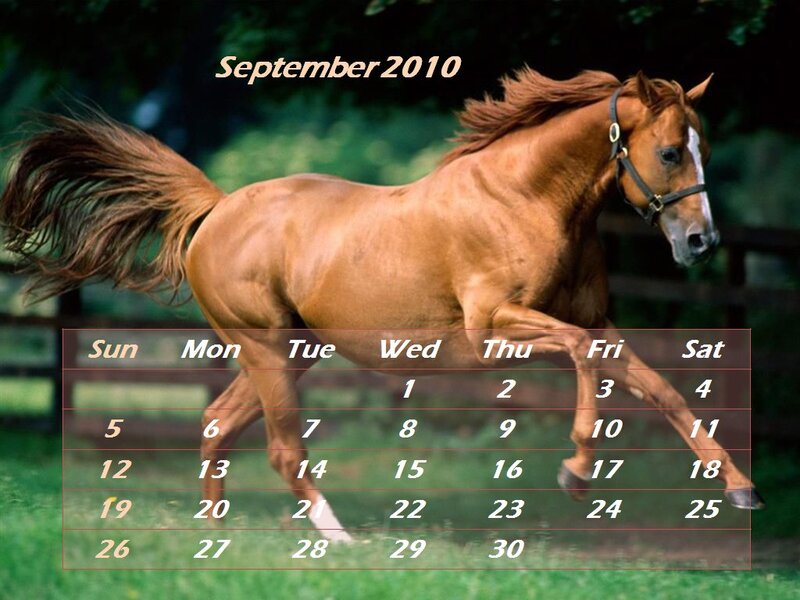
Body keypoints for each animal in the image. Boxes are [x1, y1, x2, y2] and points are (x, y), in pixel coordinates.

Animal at [0, 69, 764, 542]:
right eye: (670, 152)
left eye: (703, 146)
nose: (701, 242)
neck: (526, 199)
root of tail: (216, 208)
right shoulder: (494, 332)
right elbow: (582, 361)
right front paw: (576, 473)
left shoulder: (593, 322)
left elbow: (664, 392)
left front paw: (740, 489)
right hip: (265, 348)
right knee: (282, 449)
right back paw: (338, 539)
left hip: (292, 352)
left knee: (218, 425)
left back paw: (213, 537)